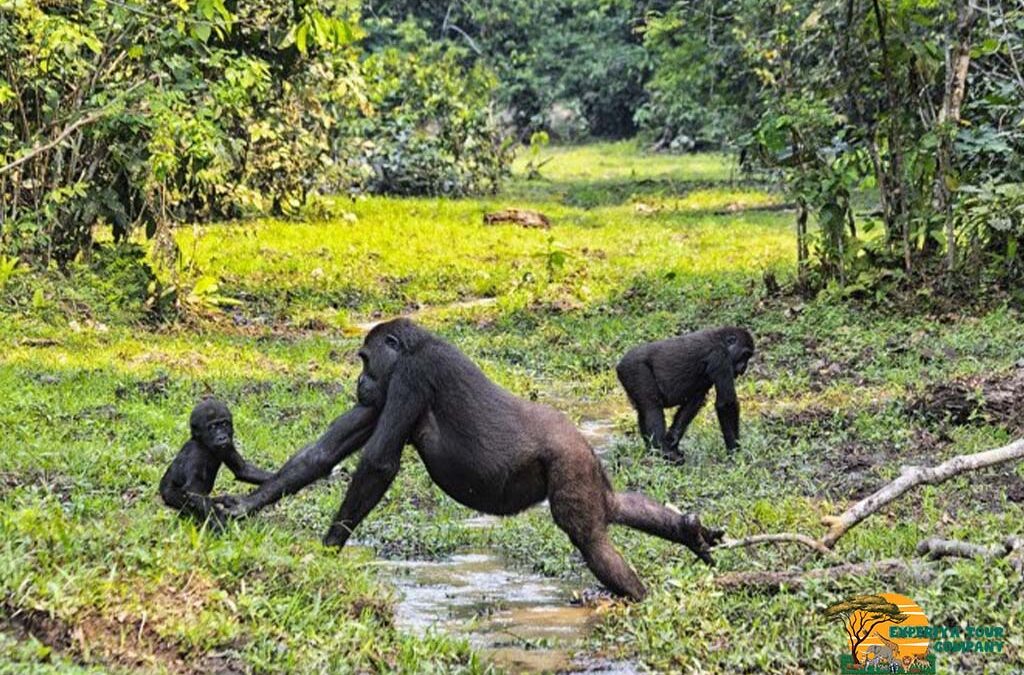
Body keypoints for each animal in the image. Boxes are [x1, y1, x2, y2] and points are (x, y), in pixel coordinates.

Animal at [159, 398, 274, 529]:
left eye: (224, 424)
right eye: (212, 427)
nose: (222, 437)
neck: (203, 443)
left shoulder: (227, 445)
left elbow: (243, 470)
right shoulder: (196, 454)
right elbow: (193, 492)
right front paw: (220, 524)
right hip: (169, 495)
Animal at [218, 319, 722, 601]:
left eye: (364, 359)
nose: (359, 383)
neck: (415, 346)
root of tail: (579, 440)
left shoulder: (410, 377)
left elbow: (378, 465)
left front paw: (327, 551)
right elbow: (321, 455)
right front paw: (242, 508)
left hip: (569, 461)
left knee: (588, 536)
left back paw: (635, 594)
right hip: (584, 465)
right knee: (613, 508)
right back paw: (686, 531)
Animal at [616, 327, 754, 459]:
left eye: (748, 357)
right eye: (745, 355)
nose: (744, 368)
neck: (721, 340)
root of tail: (619, 364)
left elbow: (694, 402)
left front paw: (672, 439)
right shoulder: (720, 357)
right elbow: (726, 404)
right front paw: (735, 452)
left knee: (644, 410)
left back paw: (653, 451)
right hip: (633, 368)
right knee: (652, 407)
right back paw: (664, 452)